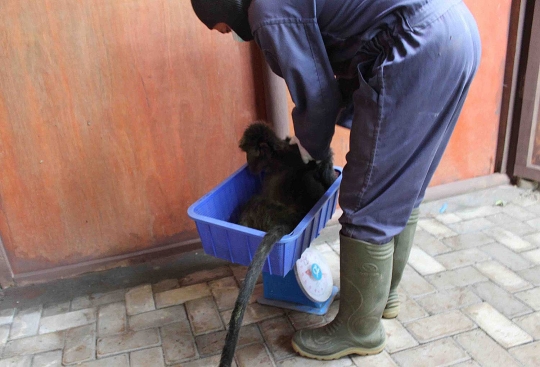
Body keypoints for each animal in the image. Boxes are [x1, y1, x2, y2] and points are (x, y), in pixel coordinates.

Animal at [218, 123, 336, 367]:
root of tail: (290, 219)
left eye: (249, 153)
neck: (280, 153)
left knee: (253, 204)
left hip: (265, 211)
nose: (249, 165)